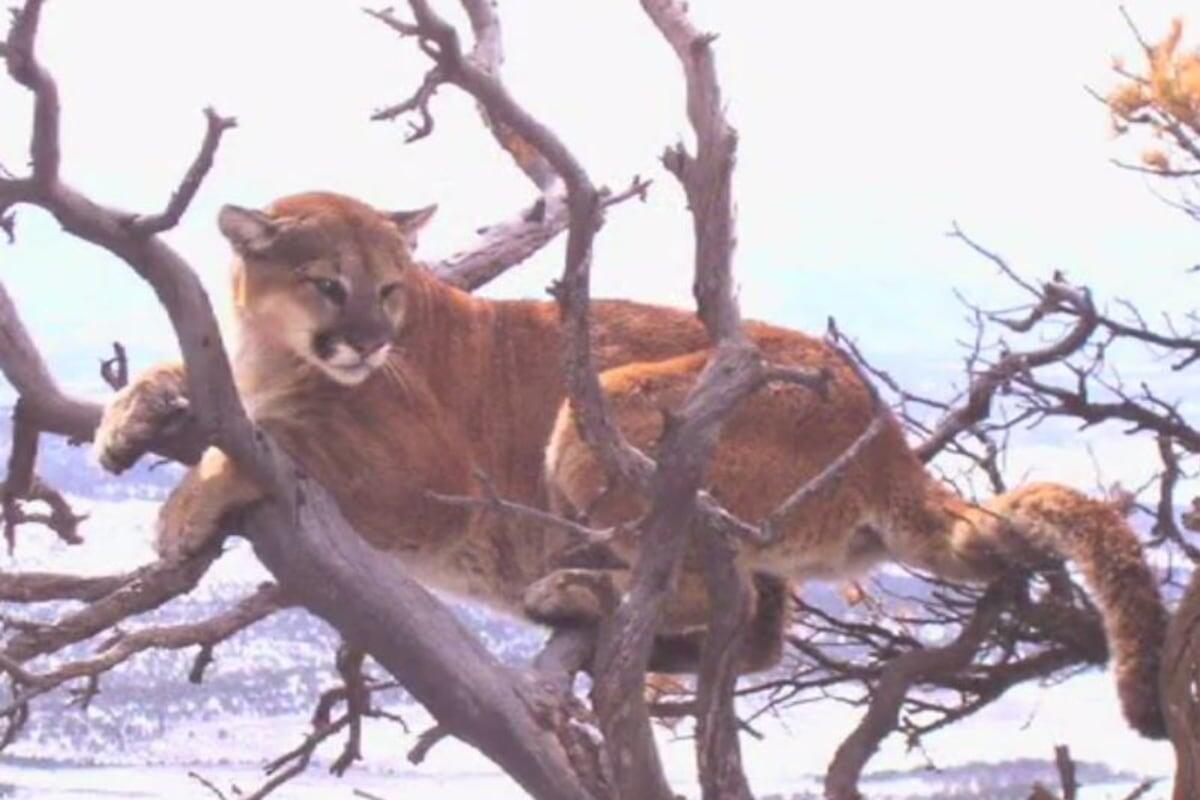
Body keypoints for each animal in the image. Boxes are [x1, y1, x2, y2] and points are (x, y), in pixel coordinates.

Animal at [93, 191, 1168, 738]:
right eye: (329, 284)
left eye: (390, 291)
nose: (364, 340)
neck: (270, 354)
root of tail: (888, 435)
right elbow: (201, 391)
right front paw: (128, 413)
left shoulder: (423, 484)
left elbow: (278, 442)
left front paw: (184, 504)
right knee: (759, 632)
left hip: (605, 412)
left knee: (698, 584)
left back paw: (577, 594)